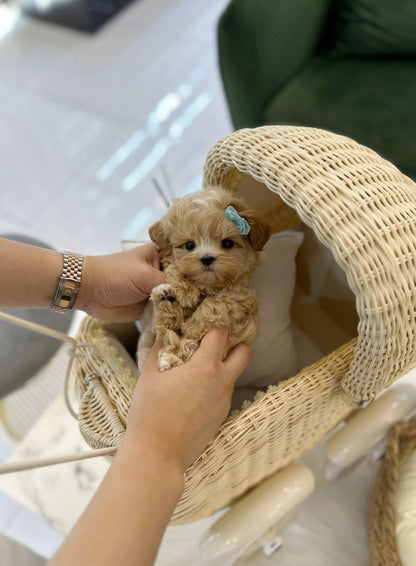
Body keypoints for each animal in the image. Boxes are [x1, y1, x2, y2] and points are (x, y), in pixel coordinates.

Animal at [138, 186, 272, 372]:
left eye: (227, 243)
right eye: (189, 245)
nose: (207, 258)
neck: (207, 285)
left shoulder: (241, 300)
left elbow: (216, 304)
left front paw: (192, 325)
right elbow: (173, 271)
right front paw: (184, 291)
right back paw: (166, 299)